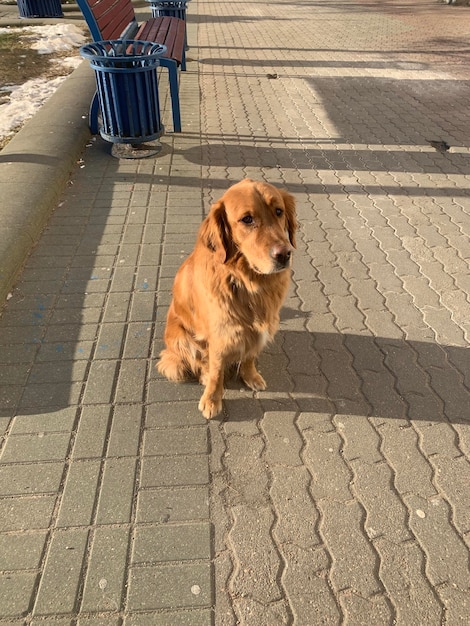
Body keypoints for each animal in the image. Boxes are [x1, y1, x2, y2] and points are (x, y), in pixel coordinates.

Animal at [158, 178, 298, 416]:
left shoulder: (258, 329)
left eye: (279, 211)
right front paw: (212, 400)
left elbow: (250, 355)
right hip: (181, 338)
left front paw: (250, 375)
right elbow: (216, 371)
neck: (246, 281)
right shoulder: (221, 334)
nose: (284, 254)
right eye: (247, 219)